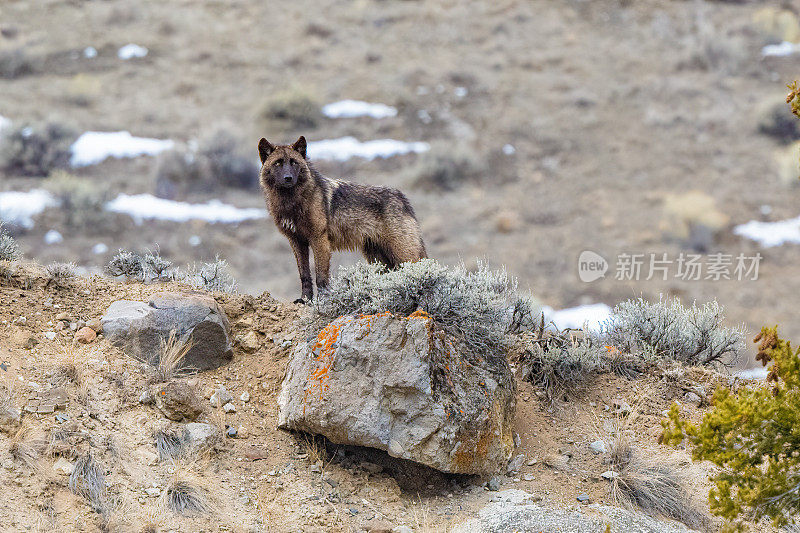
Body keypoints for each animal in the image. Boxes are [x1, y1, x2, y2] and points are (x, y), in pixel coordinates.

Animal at [260, 136, 428, 304]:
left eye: (294, 162)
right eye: (278, 163)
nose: (288, 178)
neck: (291, 202)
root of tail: (403, 198)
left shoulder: (319, 239)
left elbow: (321, 276)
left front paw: (322, 300)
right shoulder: (296, 241)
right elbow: (304, 275)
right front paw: (305, 299)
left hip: (403, 254)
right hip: (377, 257)